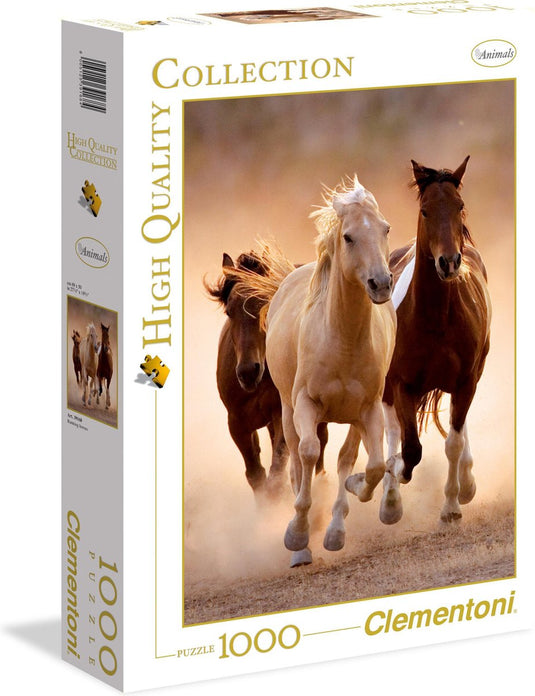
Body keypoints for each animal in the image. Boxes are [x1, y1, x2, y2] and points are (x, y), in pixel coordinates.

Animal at [205, 247, 329, 500]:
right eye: (229, 311)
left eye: (266, 304)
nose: (248, 372)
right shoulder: (237, 423)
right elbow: (256, 475)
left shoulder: (282, 413)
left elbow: (277, 471)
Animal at [264, 175, 396, 566]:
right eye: (349, 237)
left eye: (385, 228)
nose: (381, 284)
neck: (343, 340)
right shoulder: (305, 404)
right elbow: (308, 454)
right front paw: (297, 534)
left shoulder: (368, 409)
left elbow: (371, 465)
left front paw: (354, 494)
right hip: (287, 409)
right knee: (297, 458)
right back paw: (302, 546)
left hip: (352, 417)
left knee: (345, 458)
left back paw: (335, 529)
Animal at [379, 157, 491, 526]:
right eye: (425, 210)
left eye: (459, 206)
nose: (449, 262)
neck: (436, 319)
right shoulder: (401, 383)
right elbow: (410, 448)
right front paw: (396, 479)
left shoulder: (466, 380)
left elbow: (452, 442)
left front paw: (452, 505)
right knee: (391, 430)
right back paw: (389, 499)